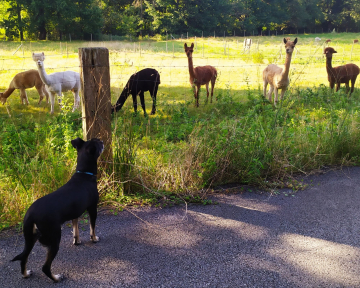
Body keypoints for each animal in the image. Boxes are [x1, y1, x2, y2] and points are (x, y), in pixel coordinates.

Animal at [11, 138, 103, 282]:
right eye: (98, 142)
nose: (102, 140)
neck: (84, 175)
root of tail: (31, 215)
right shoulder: (92, 208)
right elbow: (92, 228)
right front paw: (94, 239)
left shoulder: (75, 213)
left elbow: (75, 229)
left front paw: (77, 241)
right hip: (54, 237)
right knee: (45, 267)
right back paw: (56, 278)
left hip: (31, 237)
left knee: (23, 258)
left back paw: (26, 274)